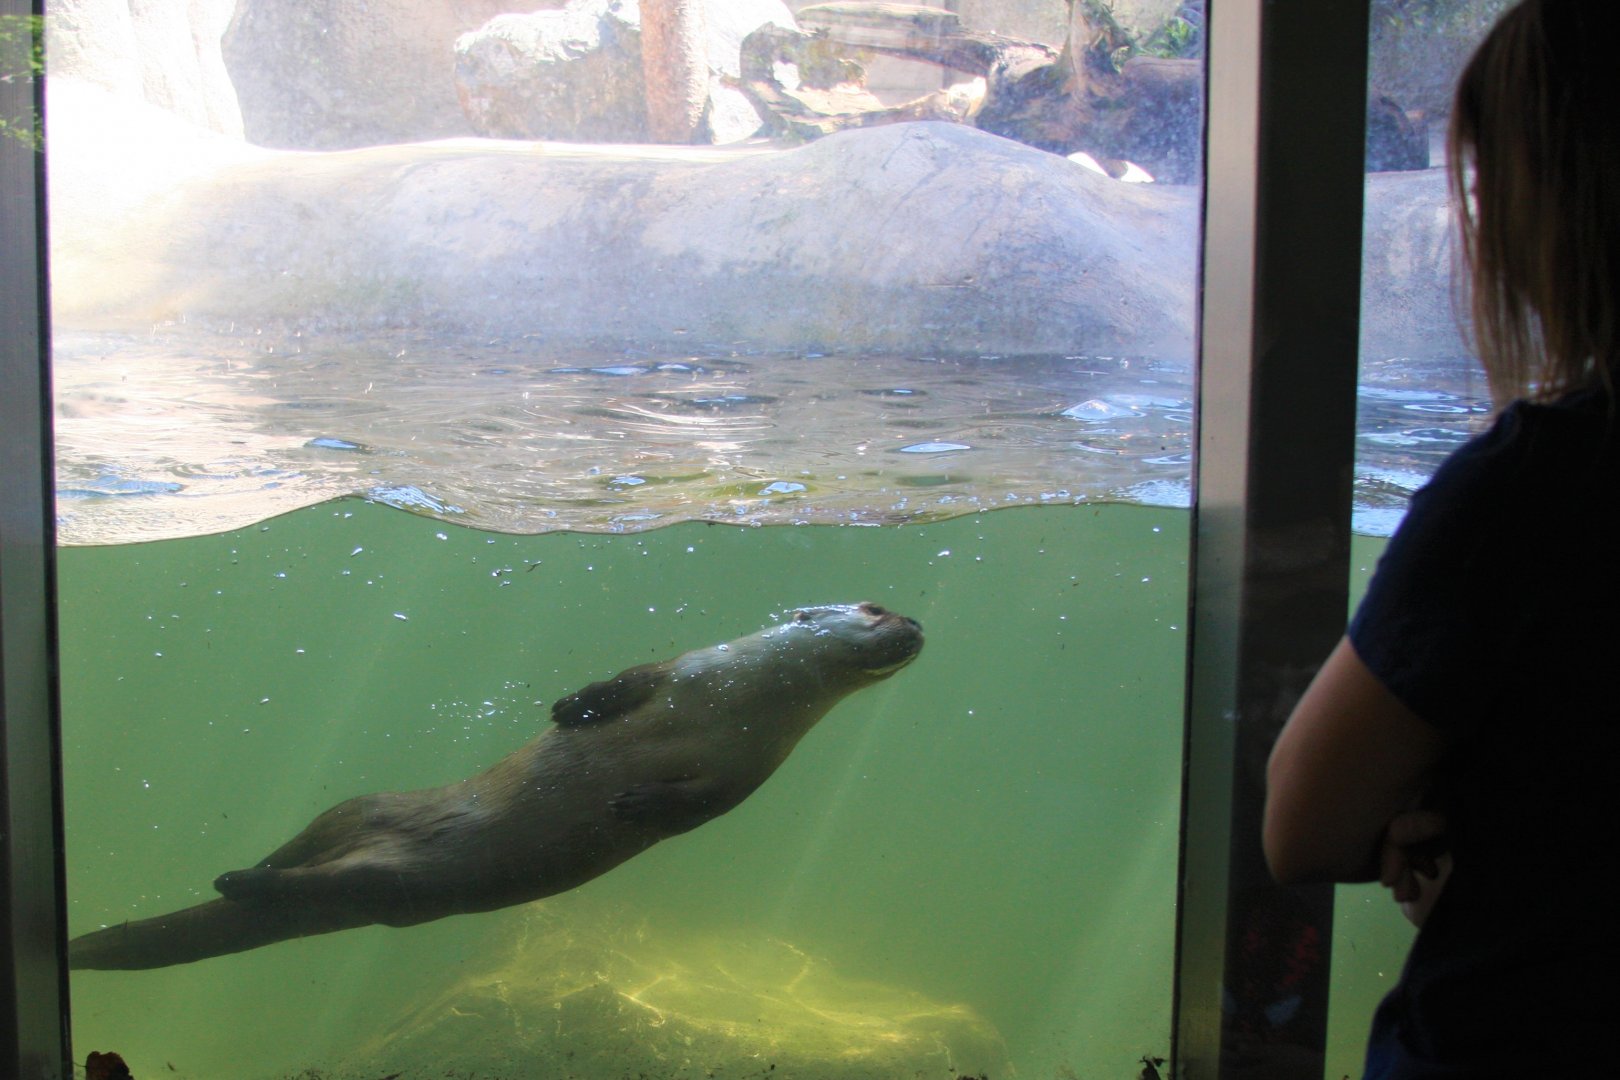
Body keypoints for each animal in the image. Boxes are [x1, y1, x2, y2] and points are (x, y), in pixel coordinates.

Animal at [69, 602, 923, 970]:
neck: (748, 695)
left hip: (405, 889)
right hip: (361, 805)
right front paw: (572, 709)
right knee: (301, 848)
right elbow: (622, 683)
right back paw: (240, 873)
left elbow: (703, 804)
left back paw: (242, 882)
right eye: (876, 608)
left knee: (315, 878)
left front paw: (638, 802)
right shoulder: (683, 671)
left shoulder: (755, 764)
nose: (917, 626)